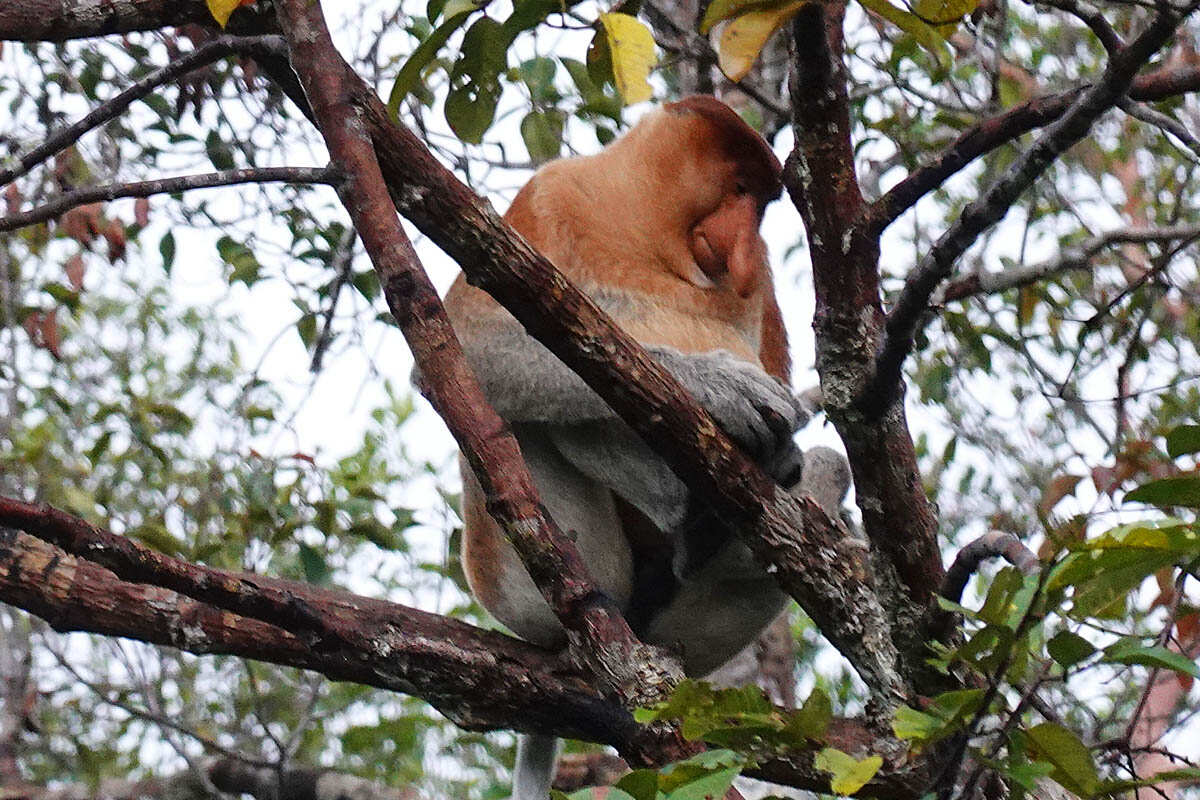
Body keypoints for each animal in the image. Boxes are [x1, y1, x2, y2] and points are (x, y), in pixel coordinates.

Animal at [422, 95, 854, 800]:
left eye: (761, 206)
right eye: (740, 189)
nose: (740, 248)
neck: (647, 234)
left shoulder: (757, 281)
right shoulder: (549, 198)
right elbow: (474, 338)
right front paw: (720, 388)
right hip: (523, 578)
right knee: (531, 418)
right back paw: (684, 521)